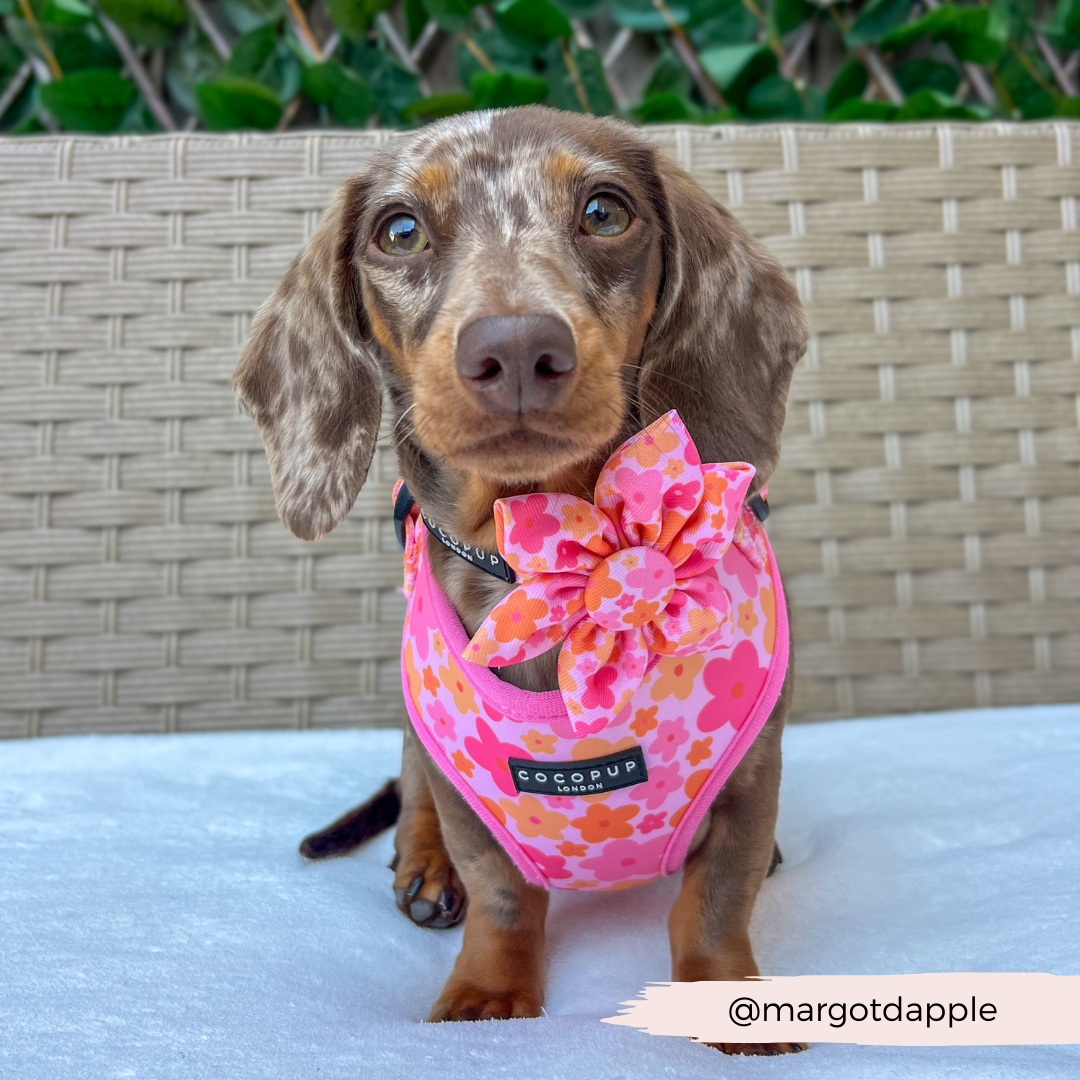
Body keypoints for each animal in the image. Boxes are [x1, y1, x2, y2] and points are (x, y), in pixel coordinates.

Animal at [236, 107, 812, 1054]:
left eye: (606, 212)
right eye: (399, 230)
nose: (514, 348)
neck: (544, 562)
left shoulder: (751, 775)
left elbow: (716, 898)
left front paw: (724, 994)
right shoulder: (471, 801)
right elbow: (501, 893)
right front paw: (488, 993)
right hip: (415, 737)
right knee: (413, 792)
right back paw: (423, 867)